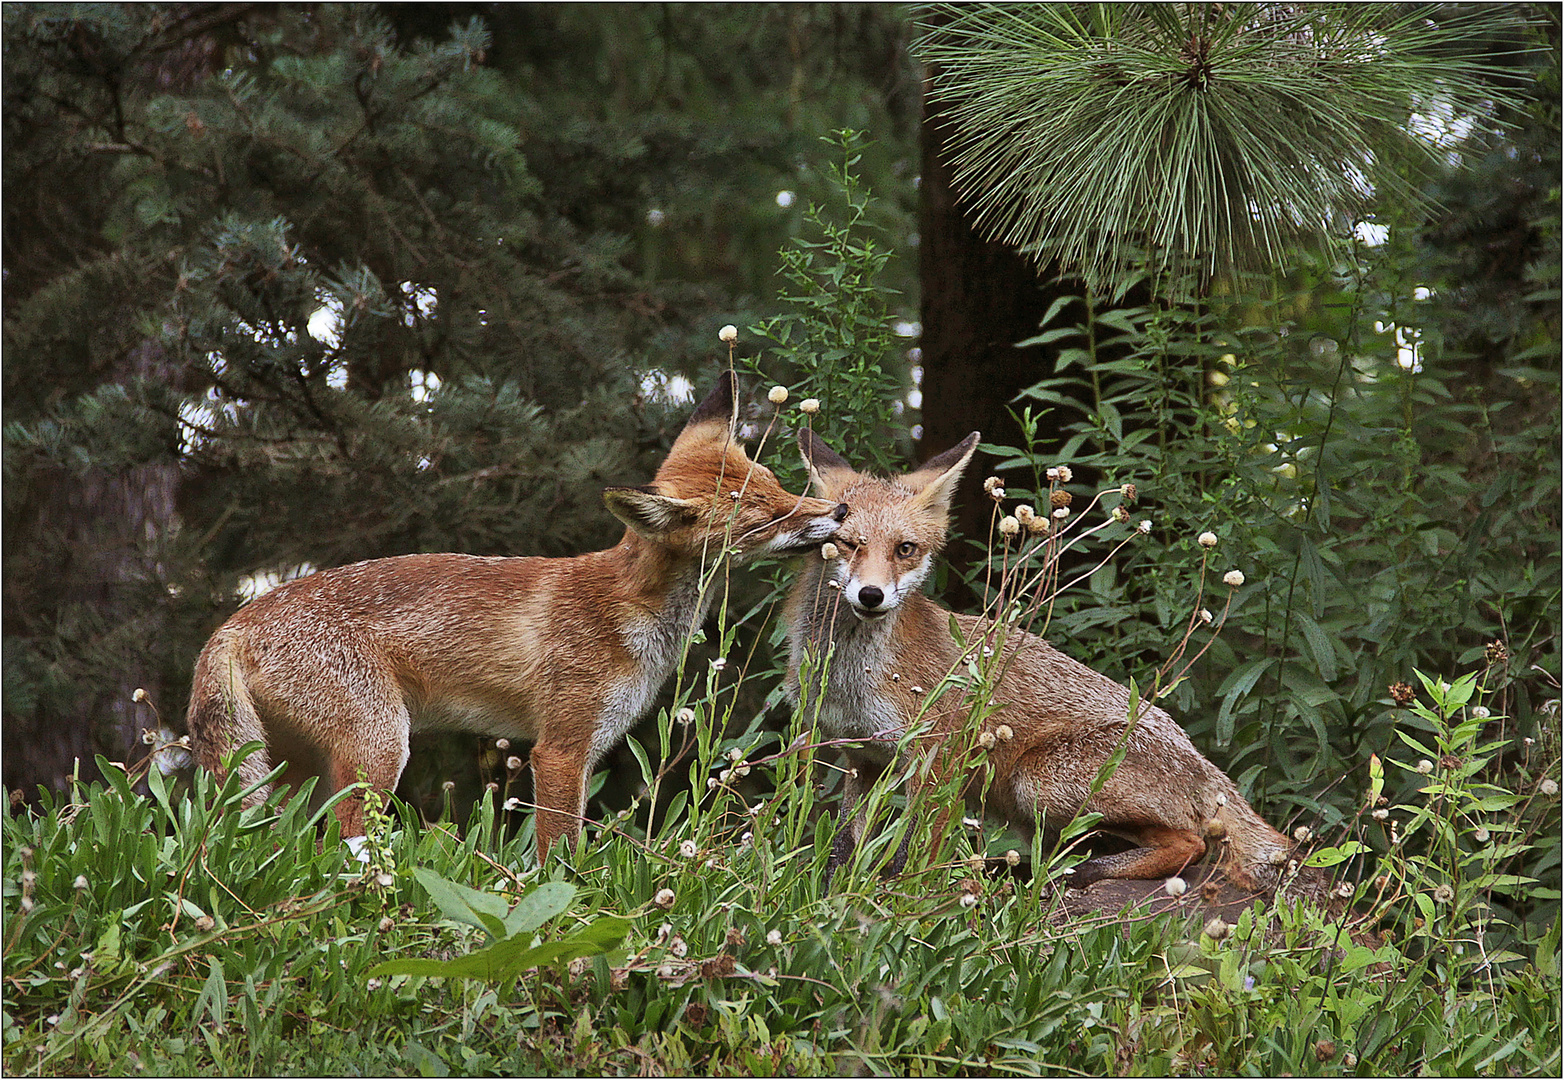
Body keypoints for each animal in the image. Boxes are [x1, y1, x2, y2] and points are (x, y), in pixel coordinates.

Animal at [189, 376, 850, 869]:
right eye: (766, 516)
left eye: (780, 485)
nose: (841, 509)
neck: (630, 608)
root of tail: (235, 622)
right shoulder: (559, 749)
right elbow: (561, 856)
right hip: (378, 748)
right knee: (339, 845)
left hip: (296, 769)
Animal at [788, 431, 1301, 894]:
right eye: (849, 544)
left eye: (905, 549)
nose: (871, 596)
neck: (852, 676)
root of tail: (1202, 763)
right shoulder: (860, 755)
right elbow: (844, 848)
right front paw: (836, 893)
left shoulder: (939, 758)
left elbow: (917, 856)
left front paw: (902, 902)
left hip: (1038, 782)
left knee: (1190, 844)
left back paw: (1084, 875)